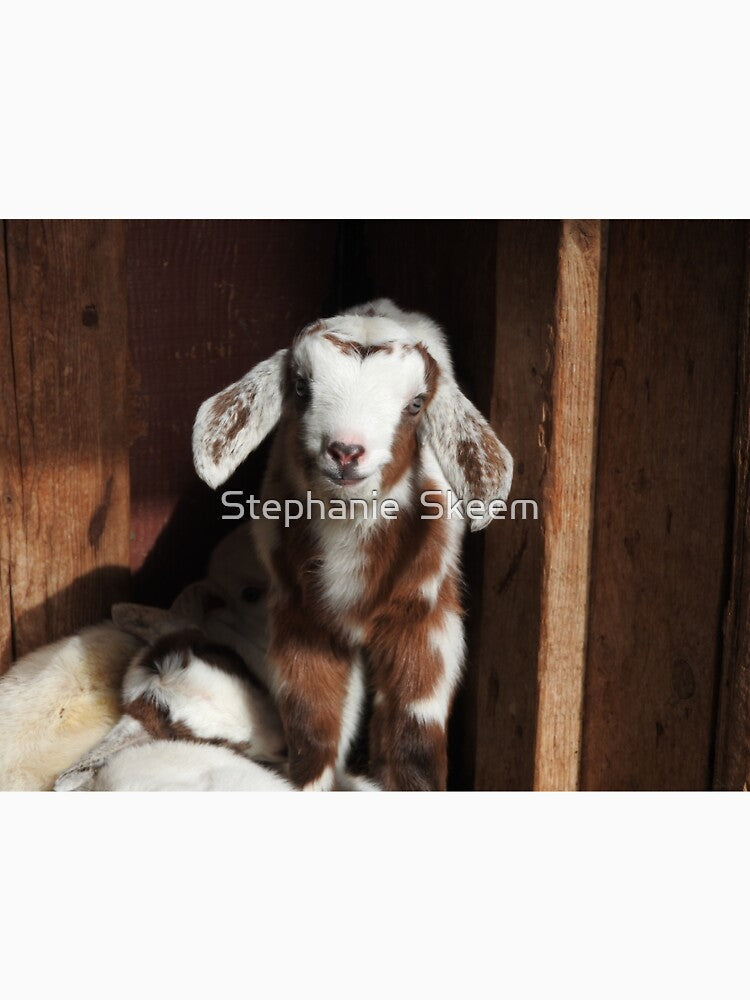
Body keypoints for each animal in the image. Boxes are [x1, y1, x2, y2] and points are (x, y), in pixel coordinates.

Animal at [193, 298, 512, 790]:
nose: (346, 451)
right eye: (300, 388)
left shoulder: (425, 617)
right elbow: (313, 724)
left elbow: (412, 735)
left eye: (416, 405)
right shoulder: (302, 616)